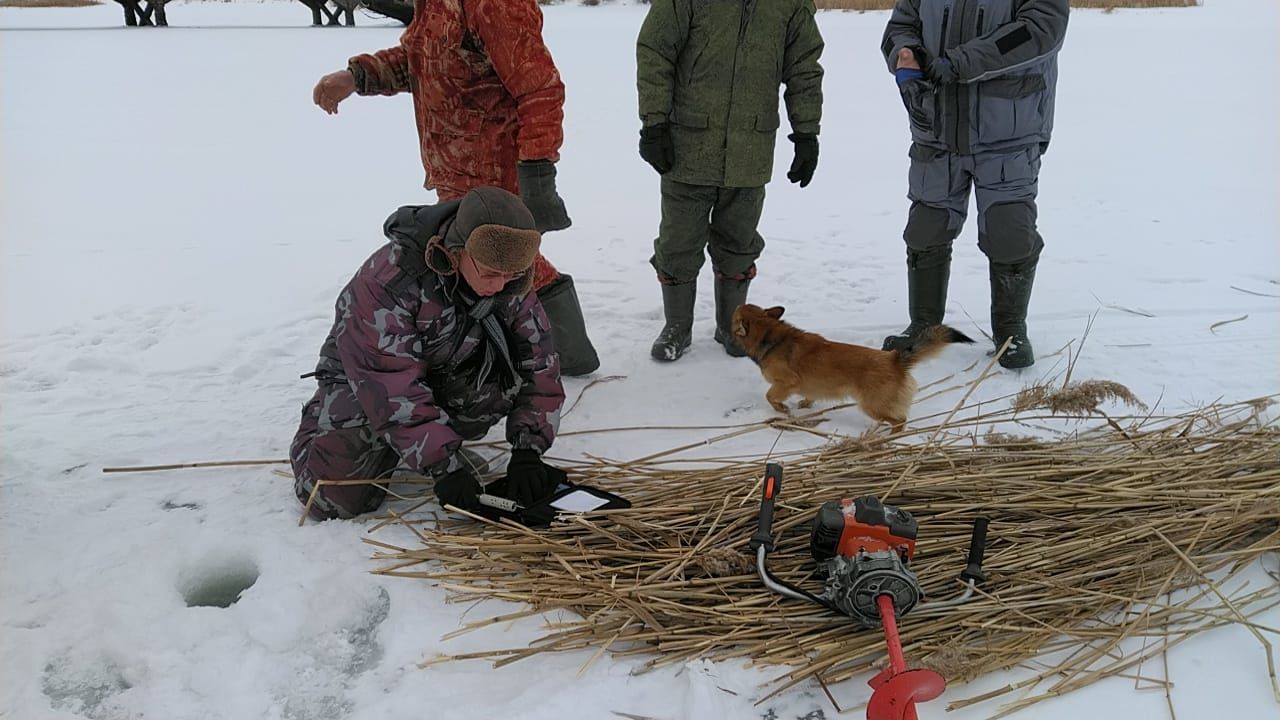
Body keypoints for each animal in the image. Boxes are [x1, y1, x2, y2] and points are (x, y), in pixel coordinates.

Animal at [732, 301, 967, 427]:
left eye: (734, 314)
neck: (771, 335)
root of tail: (895, 360)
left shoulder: (786, 382)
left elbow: (770, 396)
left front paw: (782, 409)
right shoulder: (806, 384)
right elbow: (809, 393)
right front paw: (805, 403)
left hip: (872, 406)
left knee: (899, 421)